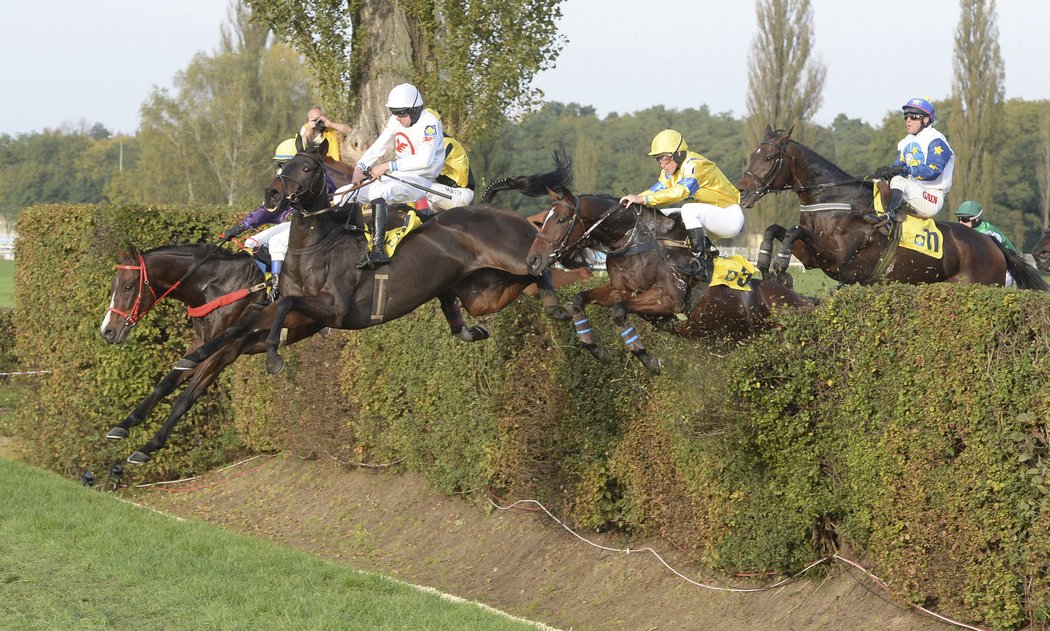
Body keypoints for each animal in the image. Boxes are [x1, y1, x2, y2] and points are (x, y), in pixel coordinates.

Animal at [734, 125, 1045, 291]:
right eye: (752, 154)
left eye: (769, 157)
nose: (742, 190)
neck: (835, 199)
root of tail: (992, 245)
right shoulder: (813, 256)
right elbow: (775, 230)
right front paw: (765, 264)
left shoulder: (837, 257)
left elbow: (792, 232)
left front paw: (781, 268)